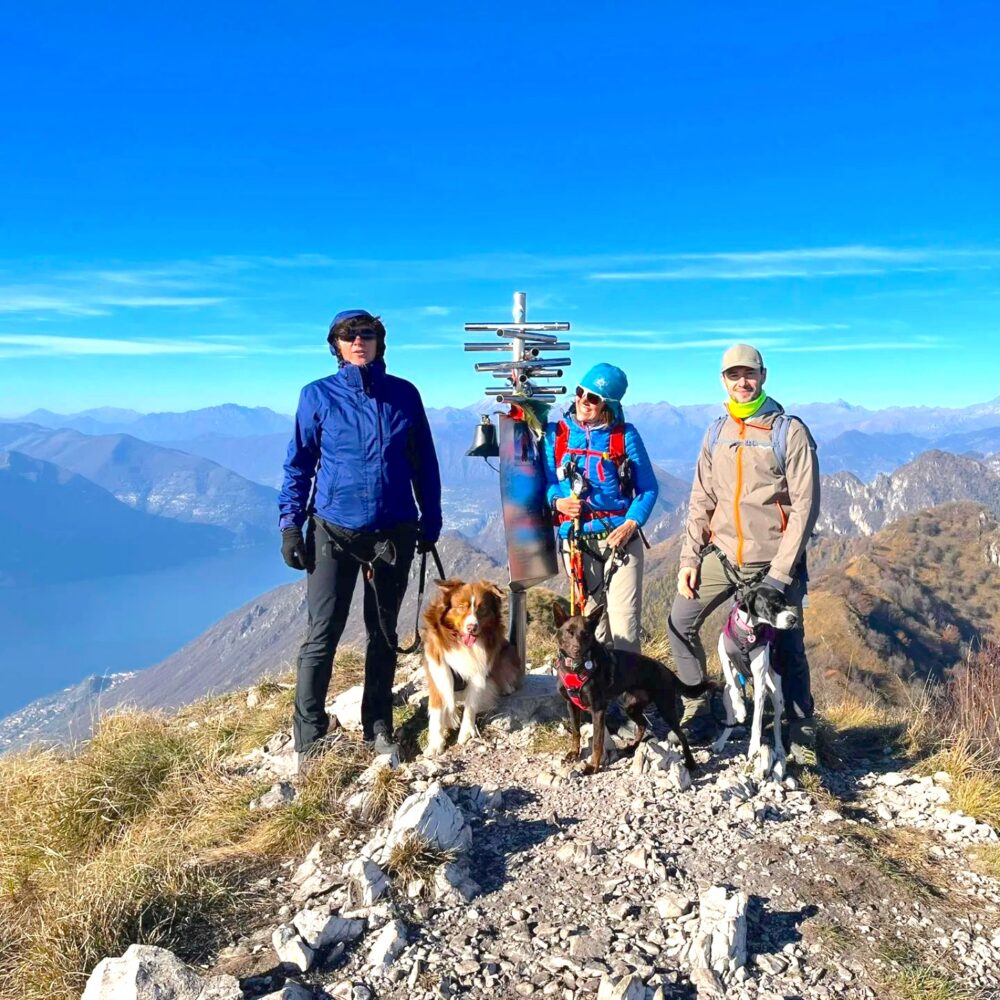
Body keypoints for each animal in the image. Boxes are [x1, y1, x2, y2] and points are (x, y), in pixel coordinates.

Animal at [422, 584, 524, 752]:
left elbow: (470, 706)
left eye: (482, 609)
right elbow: (436, 715)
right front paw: (435, 744)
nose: (472, 627)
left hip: (505, 651)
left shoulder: (478, 675)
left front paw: (465, 733)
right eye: (461, 607)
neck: (459, 643)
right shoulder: (438, 673)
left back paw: (505, 687)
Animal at [556, 600, 712, 772]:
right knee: (643, 724)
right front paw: (573, 753)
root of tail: (666, 670)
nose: (577, 650)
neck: (575, 668)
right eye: (569, 632)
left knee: (681, 735)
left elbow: (597, 742)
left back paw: (691, 763)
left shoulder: (598, 709)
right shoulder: (571, 705)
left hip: (666, 708)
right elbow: (575, 732)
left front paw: (593, 766)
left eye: (586, 634)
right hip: (631, 706)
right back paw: (632, 747)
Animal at [712, 584, 796, 780]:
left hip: (777, 696)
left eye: (786, 602)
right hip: (725, 696)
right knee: (730, 717)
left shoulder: (759, 682)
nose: (794, 619)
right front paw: (741, 708)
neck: (747, 632)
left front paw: (754, 747)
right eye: (774, 603)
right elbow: (733, 686)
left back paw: (779, 748)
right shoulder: (724, 657)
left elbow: (757, 722)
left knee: (777, 725)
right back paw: (721, 740)